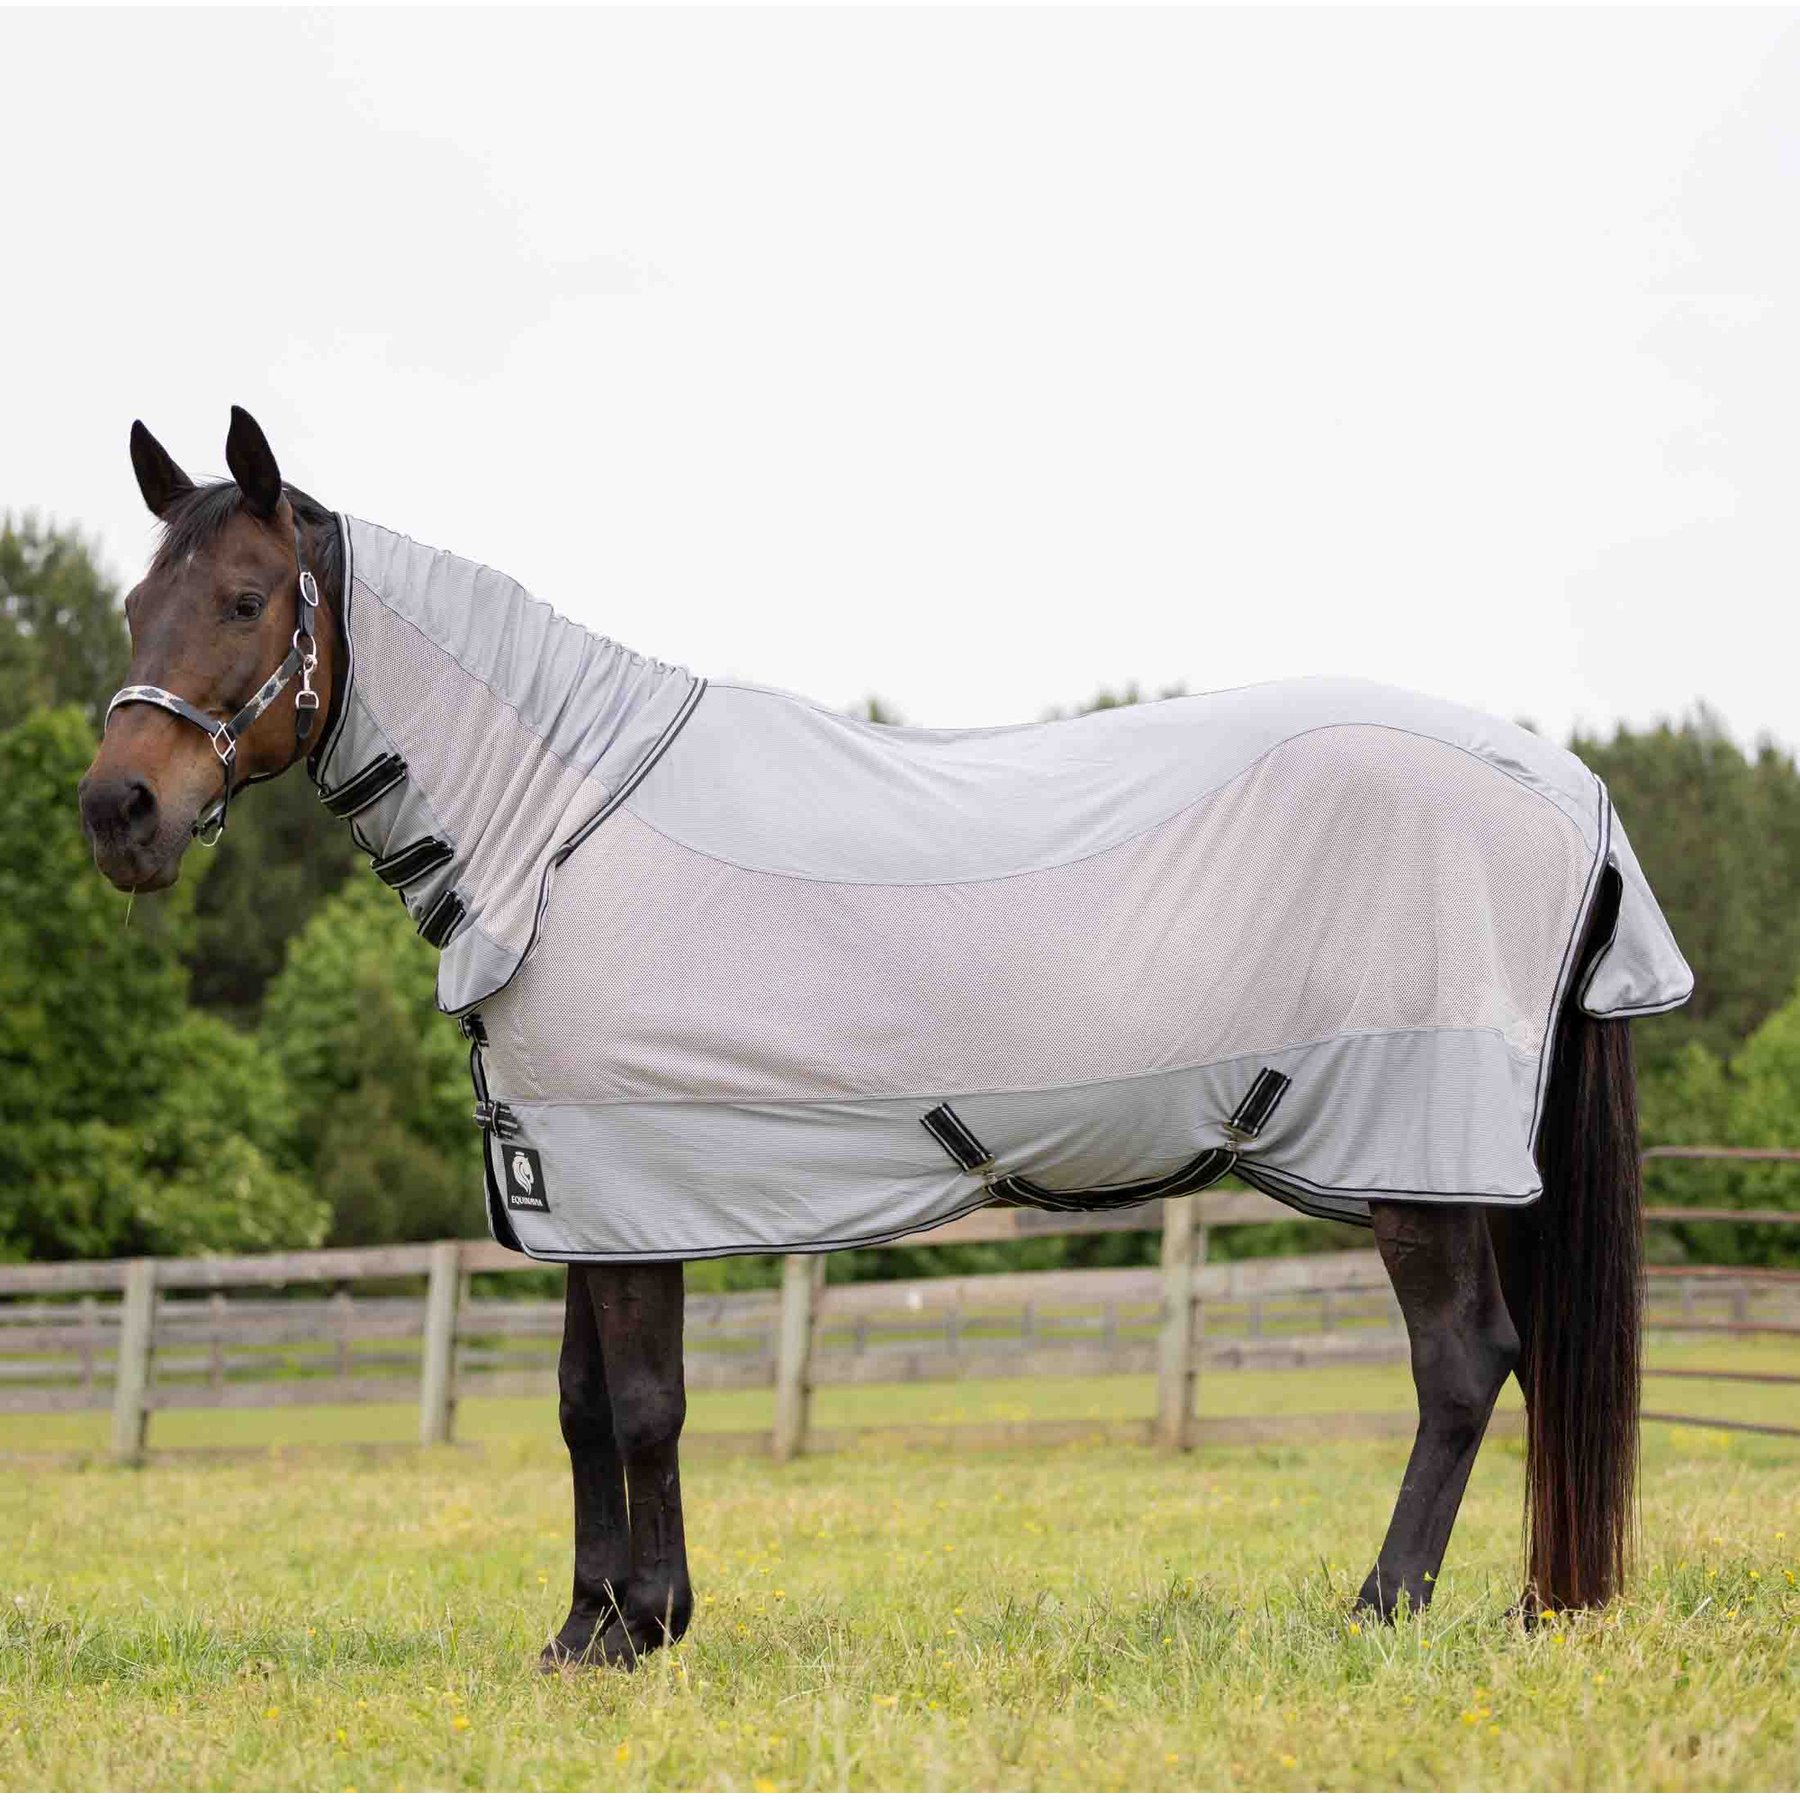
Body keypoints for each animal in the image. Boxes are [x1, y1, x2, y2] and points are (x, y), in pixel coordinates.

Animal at [80, 408, 1689, 1668]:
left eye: (245, 599)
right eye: (132, 607)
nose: (118, 814)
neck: (563, 828)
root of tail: (1571, 788)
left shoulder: (631, 1180)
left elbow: (647, 1406)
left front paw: (648, 1625)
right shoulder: (573, 1184)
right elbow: (581, 1406)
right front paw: (585, 1630)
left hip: (1422, 1161)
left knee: (1465, 1365)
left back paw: (1381, 1609)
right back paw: (1529, 1609)